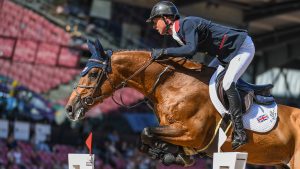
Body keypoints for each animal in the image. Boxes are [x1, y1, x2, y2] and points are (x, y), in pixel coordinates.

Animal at [65, 39, 300, 169]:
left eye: (93, 74)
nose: (70, 108)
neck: (172, 84)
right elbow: (145, 139)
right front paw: (172, 154)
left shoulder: (193, 133)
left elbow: (146, 132)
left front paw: (169, 153)